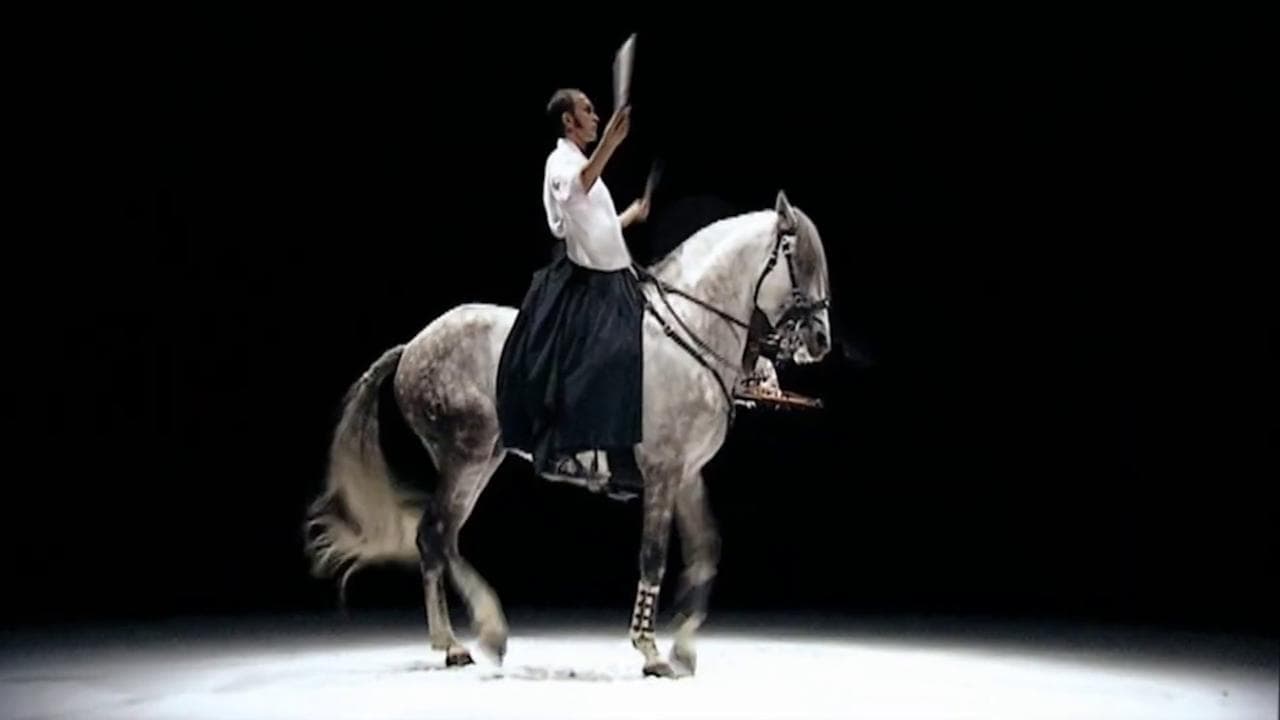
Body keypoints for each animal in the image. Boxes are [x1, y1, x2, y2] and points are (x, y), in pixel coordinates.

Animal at [303, 190, 832, 677]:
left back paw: (465, 639)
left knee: (442, 537)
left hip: (482, 457)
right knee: (434, 534)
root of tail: (413, 345)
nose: (820, 342)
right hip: (465, 455)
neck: (688, 338)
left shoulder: (685, 474)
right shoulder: (662, 472)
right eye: (798, 258)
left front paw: (683, 648)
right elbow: (654, 556)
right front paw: (651, 651)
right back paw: (466, 639)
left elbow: (705, 550)